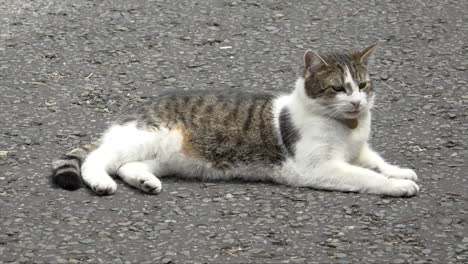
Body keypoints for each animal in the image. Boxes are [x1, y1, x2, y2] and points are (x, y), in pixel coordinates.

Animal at [52, 43, 420, 196]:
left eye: (363, 85)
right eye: (339, 88)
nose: (357, 102)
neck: (347, 128)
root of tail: (131, 112)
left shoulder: (359, 151)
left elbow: (376, 161)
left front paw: (400, 171)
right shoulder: (318, 167)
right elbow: (366, 176)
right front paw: (398, 185)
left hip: (167, 156)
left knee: (130, 166)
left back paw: (145, 182)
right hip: (147, 136)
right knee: (99, 159)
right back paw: (101, 181)